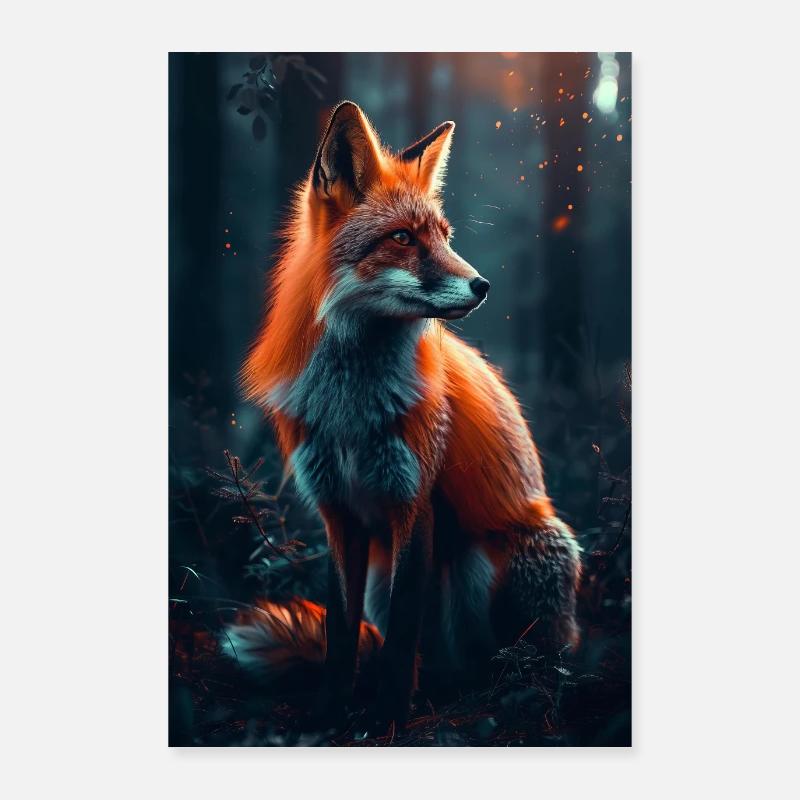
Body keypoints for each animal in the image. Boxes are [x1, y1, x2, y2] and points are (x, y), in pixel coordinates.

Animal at [227, 101, 581, 729]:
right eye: (401, 238)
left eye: (443, 237)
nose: (483, 285)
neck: (351, 407)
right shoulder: (337, 512)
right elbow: (341, 636)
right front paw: (333, 713)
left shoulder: (414, 503)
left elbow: (400, 635)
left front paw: (388, 718)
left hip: (499, 560)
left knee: (507, 660)